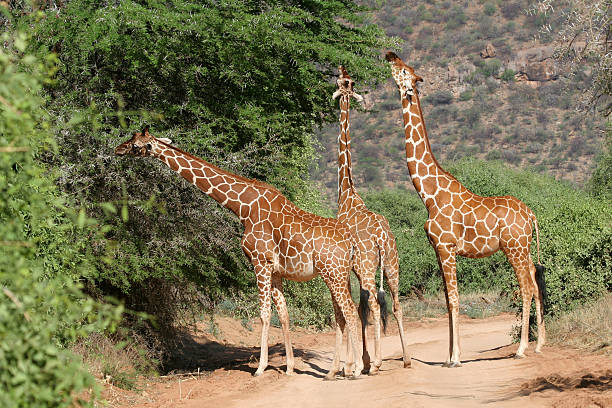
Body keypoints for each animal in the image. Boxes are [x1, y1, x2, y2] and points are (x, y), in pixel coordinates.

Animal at [115, 127, 364, 380]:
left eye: (135, 145)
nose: (117, 149)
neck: (243, 207)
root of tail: (351, 243)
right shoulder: (275, 270)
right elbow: (283, 314)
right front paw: (290, 367)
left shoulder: (259, 262)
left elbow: (264, 314)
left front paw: (261, 367)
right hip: (338, 274)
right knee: (344, 313)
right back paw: (336, 370)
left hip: (333, 272)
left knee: (350, 311)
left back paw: (356, 369)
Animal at [332, 64, 414, 372]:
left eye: (341, 82)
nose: (340, 72)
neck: (346, 193)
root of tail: (380, 237)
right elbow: (360, 307)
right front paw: (361, 360)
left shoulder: (350, 268)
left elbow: (354, 308)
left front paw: (355, 363)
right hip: (391, 263)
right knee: (396, 303)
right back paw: (406, 358)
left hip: (368, 268)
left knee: (377, 305)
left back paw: (377, 362)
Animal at [384, 52, 548, 368]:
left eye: (404, 70)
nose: (389, 55)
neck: (429, 194)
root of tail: (531, 214)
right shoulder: (438, 249)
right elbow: (448, 301)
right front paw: (449, 354)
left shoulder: (447, 247)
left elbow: (455, 299)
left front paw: (456, 358)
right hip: (524, 247)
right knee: (535, 280)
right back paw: (540, 344)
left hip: (513, 248)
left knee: (526, 286)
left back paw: (522, 348)